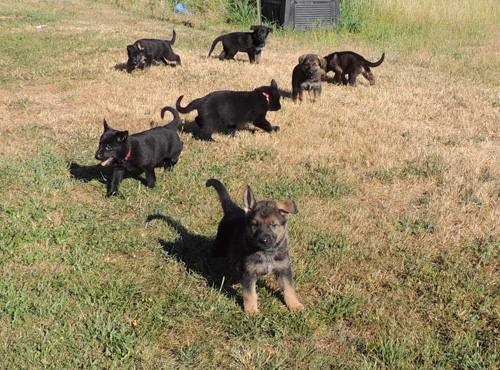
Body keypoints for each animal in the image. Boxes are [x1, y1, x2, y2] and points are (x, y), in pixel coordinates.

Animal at [205, 179, 302, 316]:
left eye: (273, 224)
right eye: (256, 224)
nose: (263, 240)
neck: (267, 252)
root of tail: (233, 210)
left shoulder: (283, 269)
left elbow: (289, 288)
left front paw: (294, 305)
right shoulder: (248, 273)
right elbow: (250, 294)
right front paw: (252, 311)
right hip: (222, 246)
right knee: (213, 254)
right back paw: (212, 270)